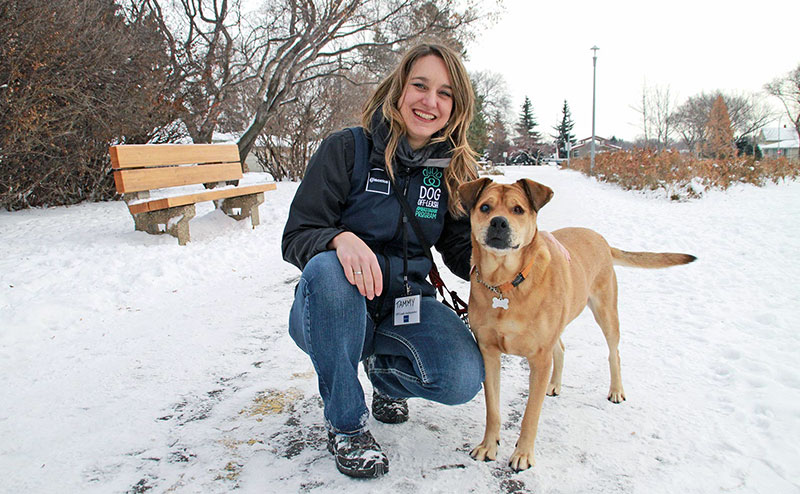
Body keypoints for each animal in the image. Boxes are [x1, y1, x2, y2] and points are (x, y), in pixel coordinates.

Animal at [460, 177, 696, 470]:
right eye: (485, 207)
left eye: (518, 210)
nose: (499, 223)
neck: (506, 284)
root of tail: (600, 238)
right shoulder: (489, 353)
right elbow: (493, 409)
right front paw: (488, 446)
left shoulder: (539, 359)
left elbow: (531, 414)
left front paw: (523, 454)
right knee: (560, 348)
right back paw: (554, 384)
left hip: (606, 311)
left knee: (613, 352)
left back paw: (616, 390)